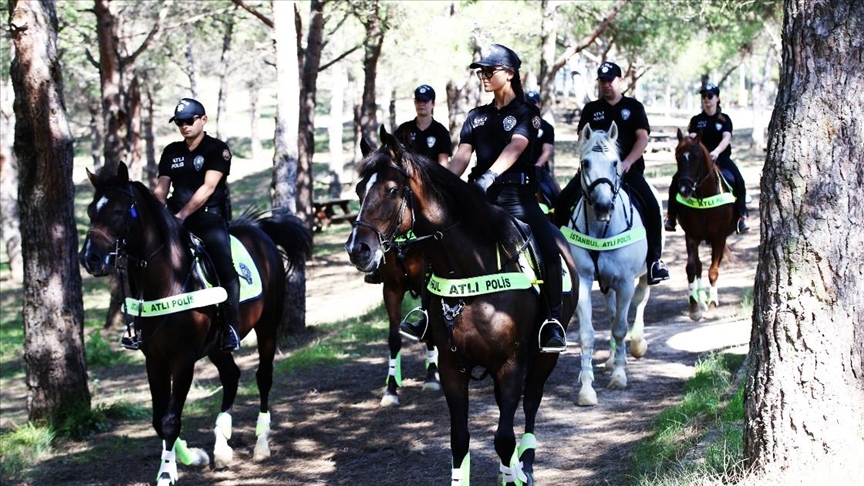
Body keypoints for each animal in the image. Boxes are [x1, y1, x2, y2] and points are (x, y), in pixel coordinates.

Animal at [78, 163, 310, 486]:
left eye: (119, 211)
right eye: (90, 210)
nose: (90, 258)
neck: (168, 278)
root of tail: (259, 232)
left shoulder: (183, 360)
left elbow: (170, 420)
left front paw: (166, 473)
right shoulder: (155, 361)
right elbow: (158, 420)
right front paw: (192, 456)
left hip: (267, 328)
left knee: (263, 377)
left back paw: (261, 444)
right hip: (216, 346)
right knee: (231, 376)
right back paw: (222, 447)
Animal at [346, 126, 580, 486]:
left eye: (391, 190)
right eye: (360, 190)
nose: (357, 249)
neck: (472, 269)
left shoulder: (511, 364)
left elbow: (504, 437)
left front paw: (516, 472)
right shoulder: (452, 366)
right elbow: (459, 440)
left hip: (543, 357)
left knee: (530, 403)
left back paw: (525, 465)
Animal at [560, 122, 660, 406]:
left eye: (615, 162)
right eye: (585, 163)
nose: (604, 206)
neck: (601, 229)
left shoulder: (625, 282)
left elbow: (619, 328)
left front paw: (619, 376)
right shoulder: (584, 280)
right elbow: (588, 334)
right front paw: (586, 389)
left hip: (644, 276)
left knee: (640, 302)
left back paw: (636, 344)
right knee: (613, 311)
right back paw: (611, 359)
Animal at [676, 128, 736, 322]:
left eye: (696, 157)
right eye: (677, 156)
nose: (684, 190)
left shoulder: (719, 238)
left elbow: (713, 271)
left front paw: (713, 304)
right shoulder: (691, 236)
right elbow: (691, 268)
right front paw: (694, 307)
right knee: (698, 266)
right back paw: (700, 300)